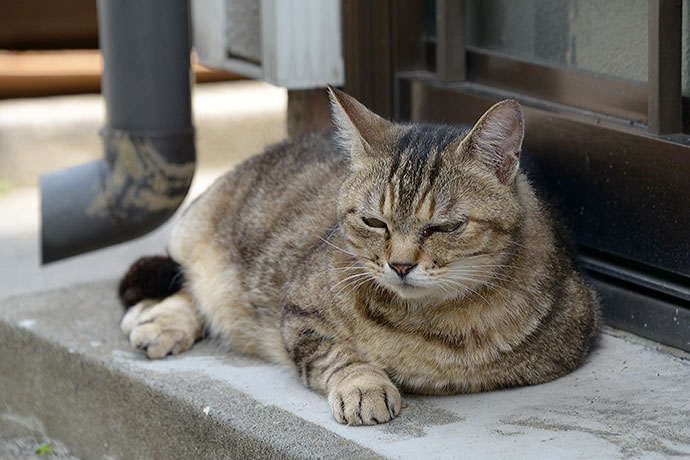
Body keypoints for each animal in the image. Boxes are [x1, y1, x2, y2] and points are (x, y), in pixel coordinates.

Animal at [117, 88, 596, 426]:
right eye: (374, 222)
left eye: (444, 227)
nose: (400, 264)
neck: (425, 319)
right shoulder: (298, 311)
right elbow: (339, 354)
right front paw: (364, 384)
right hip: (201, 236)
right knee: (187, 279)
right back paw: (157, 318)